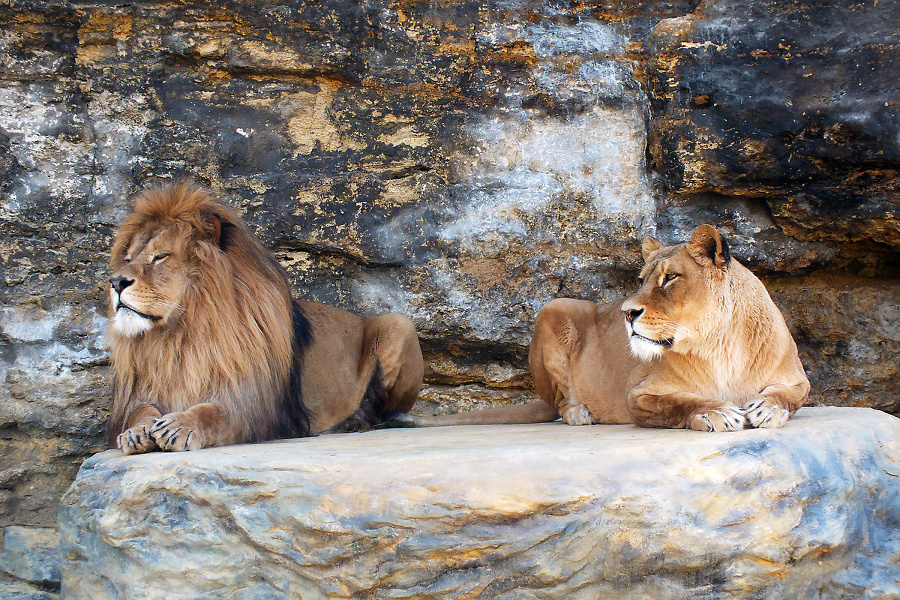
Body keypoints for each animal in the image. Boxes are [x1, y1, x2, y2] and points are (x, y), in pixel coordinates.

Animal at [107, 183, 424, 454]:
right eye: (128, 258)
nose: (116, 282)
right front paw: (135, 432)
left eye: (160, 256)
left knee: (384, 412)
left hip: (399, 324)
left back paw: (355, 420)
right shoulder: (141, 391)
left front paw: (181, 425)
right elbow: (140, 412)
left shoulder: (254, 404)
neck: (182, 332)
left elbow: (216, 413)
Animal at [418, 225, 812, 432]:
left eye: (669, 278)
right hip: (555, 308)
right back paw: (580, 414)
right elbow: (680, 403)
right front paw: (714, 411)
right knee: (560, 401)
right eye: (641, 280)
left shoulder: (797, 379)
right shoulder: (639, 394)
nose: (626, 312)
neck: (719, 344)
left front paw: (767, 408)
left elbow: (790, 395)